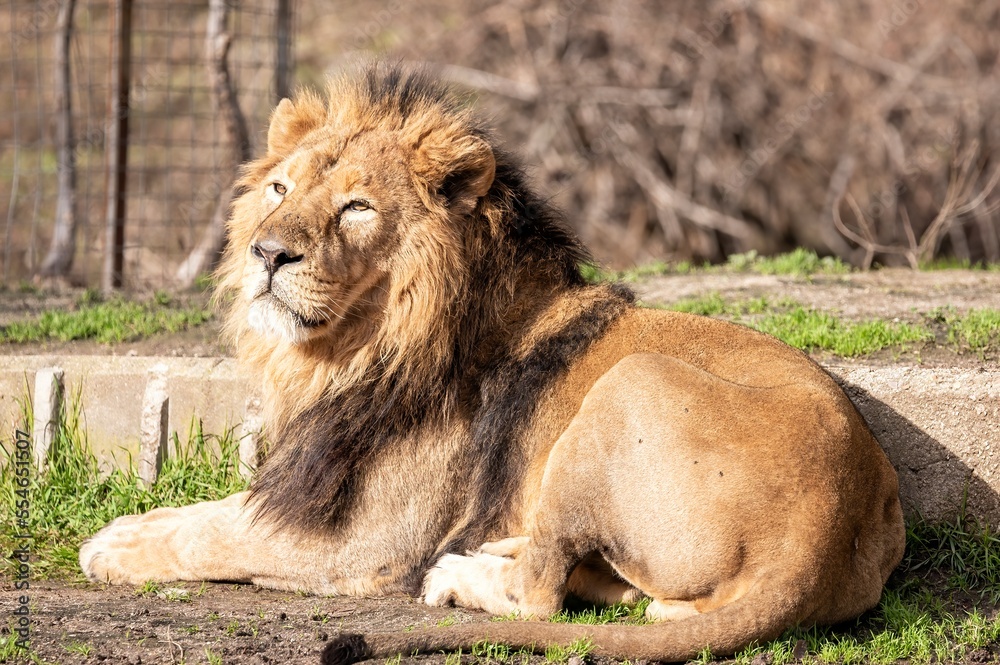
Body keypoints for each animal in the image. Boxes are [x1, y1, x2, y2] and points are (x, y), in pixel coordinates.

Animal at [79, 64, 905, 663]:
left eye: (356, 208)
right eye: (280, 188)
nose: (266, 252)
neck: (349, 351)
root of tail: (820, 535)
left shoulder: (364, 541)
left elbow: (217, 532)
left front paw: (111, 545)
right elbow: (212, 510)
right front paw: (132, 524)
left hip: (628, 381)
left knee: (541, 595)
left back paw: (461, 572)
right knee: (627, 593)